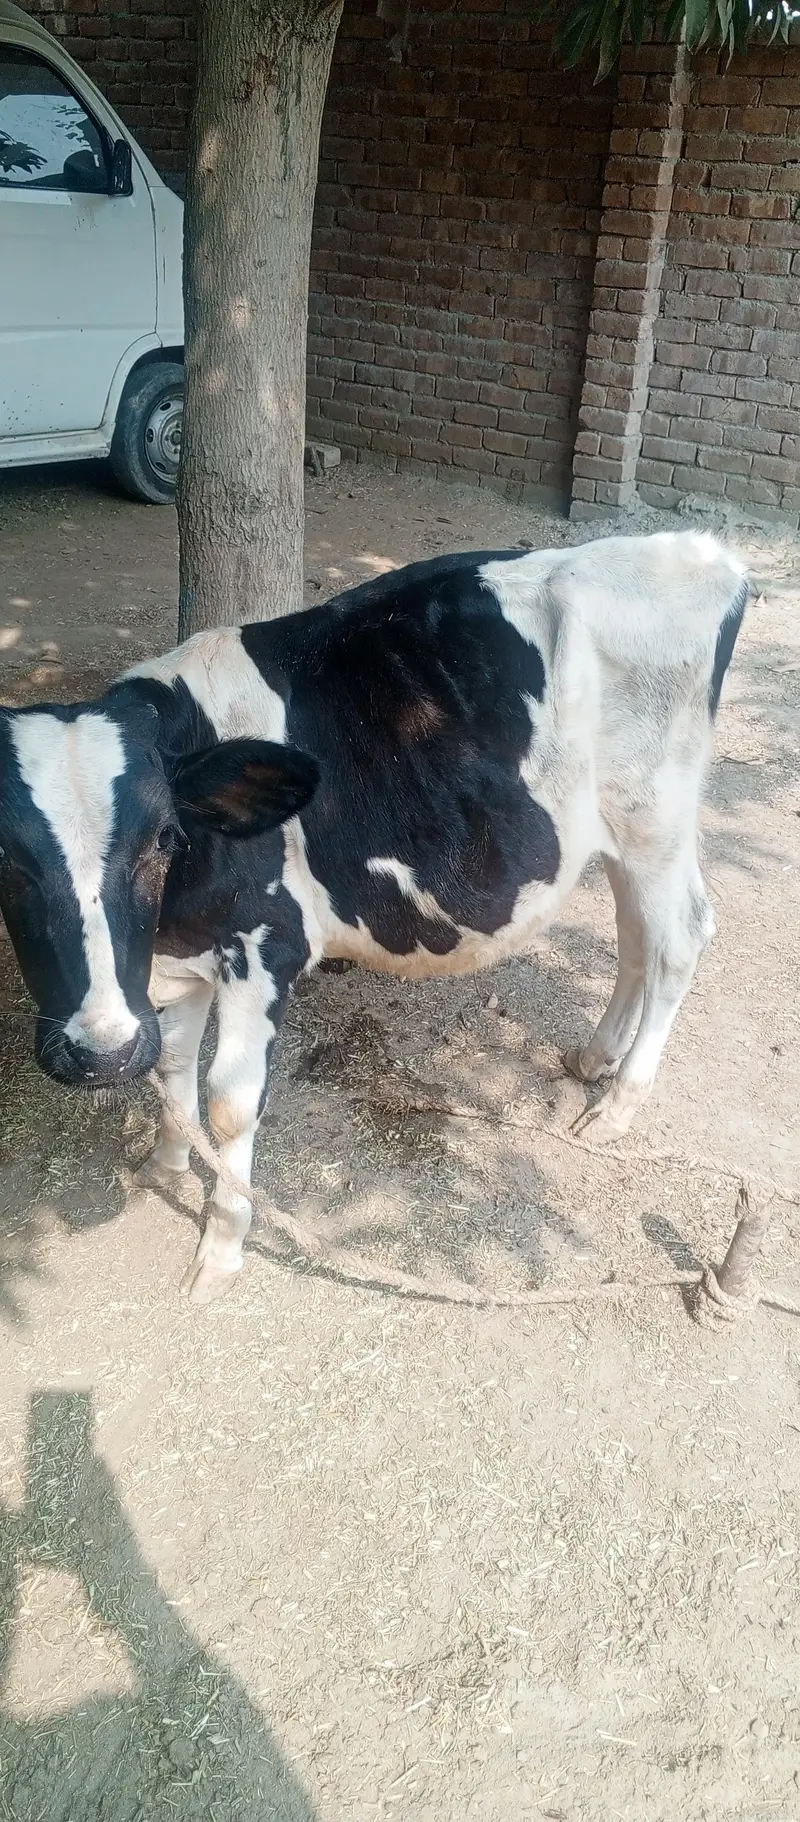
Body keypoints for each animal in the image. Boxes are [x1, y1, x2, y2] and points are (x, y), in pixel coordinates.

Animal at [0, 532, 748, 1301]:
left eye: (162, 839)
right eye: (5, 857)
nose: (100, 1052)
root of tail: (698, 551)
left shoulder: (264, 946)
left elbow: (228, 1101)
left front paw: (222, 1246)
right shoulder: (179, 960)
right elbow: (175, 1068)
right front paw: (166, 1165)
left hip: (654, 813)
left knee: (680, 937)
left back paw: (619, 1104)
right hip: (616, 831)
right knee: (637, 934)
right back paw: (595, 1057)